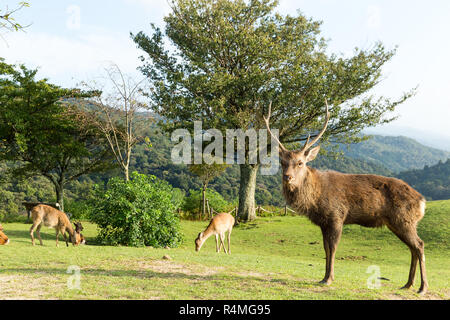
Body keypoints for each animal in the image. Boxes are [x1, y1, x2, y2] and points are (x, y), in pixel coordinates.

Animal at [264, 100, 428, 296]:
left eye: (300, 163)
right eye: (282, 162)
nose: (287, 177)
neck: (315, 199)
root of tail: (422, 201)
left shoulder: (337, 216)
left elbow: (333, 247)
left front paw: (329, 279)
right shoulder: (323, 222)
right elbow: (325, 248)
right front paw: (323, 277)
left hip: (404, 219)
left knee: (419, 245)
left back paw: (422, 287)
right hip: (397, 223)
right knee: (412, 248)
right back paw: (407, 284)